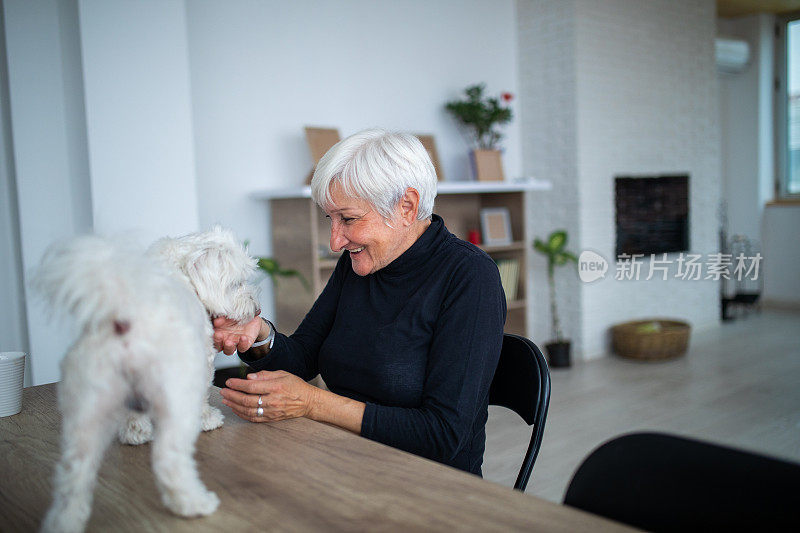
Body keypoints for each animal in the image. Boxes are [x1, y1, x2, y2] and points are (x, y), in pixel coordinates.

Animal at [34, 225, 260, 532]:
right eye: (237, 283)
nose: (257, 308)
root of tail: (126, 315)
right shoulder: (201, 359)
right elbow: (204, 394)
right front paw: (208, 419)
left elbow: (133, 418)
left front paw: (136, 433)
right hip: (176, 395)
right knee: (168, 460)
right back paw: (194, 503)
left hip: (87, 410)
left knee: (74, 475)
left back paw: (65, 521)